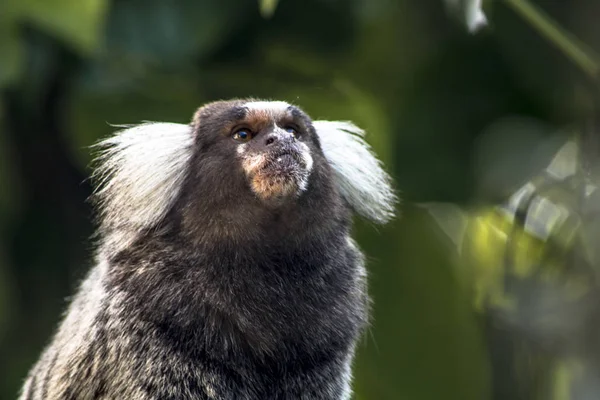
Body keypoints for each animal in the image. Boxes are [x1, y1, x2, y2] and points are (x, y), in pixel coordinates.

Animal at [18, 98, 396, 398]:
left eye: (293, 130)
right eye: (243, 134)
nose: (282, 140)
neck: (259, 267)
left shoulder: (325, 344)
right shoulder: (147, 329)